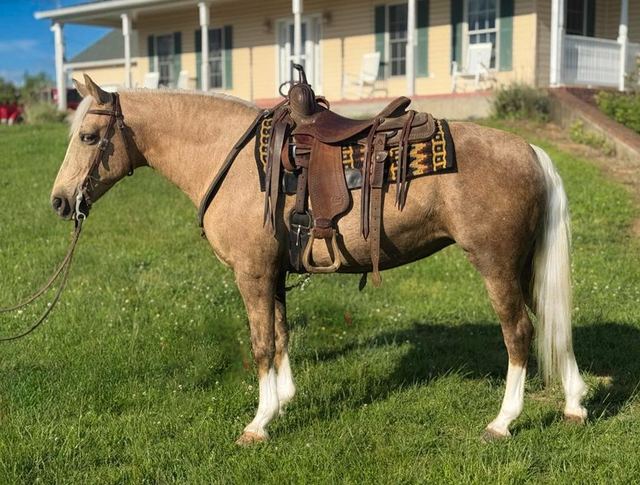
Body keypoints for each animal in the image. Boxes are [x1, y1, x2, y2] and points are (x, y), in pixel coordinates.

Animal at [50, 75, 587, 445]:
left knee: (518, 333)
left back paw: (503, 421)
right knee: (553, 323)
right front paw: (283, 402)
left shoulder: (252, 273)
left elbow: (262, 343)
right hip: (523, 266)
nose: (59, 201)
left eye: (89, 138)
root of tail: (532, 151)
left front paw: (259, 423)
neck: (232, 160)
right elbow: (283, 334)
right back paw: (575, 405)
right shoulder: (273, 272)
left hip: (495, 264)